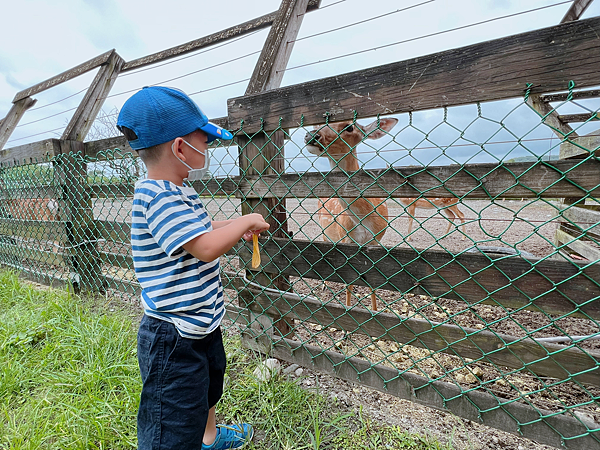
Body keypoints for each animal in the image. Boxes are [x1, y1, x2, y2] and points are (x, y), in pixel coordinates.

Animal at [304, 118, 398, 312]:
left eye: (349, 127)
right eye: (318, 124)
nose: (311, 135)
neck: (365, 220)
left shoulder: (376, 240)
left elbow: (373, 282)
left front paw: (375, 311)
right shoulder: (346, 238)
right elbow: (349, 284)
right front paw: (347, 312)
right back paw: (324, 284)